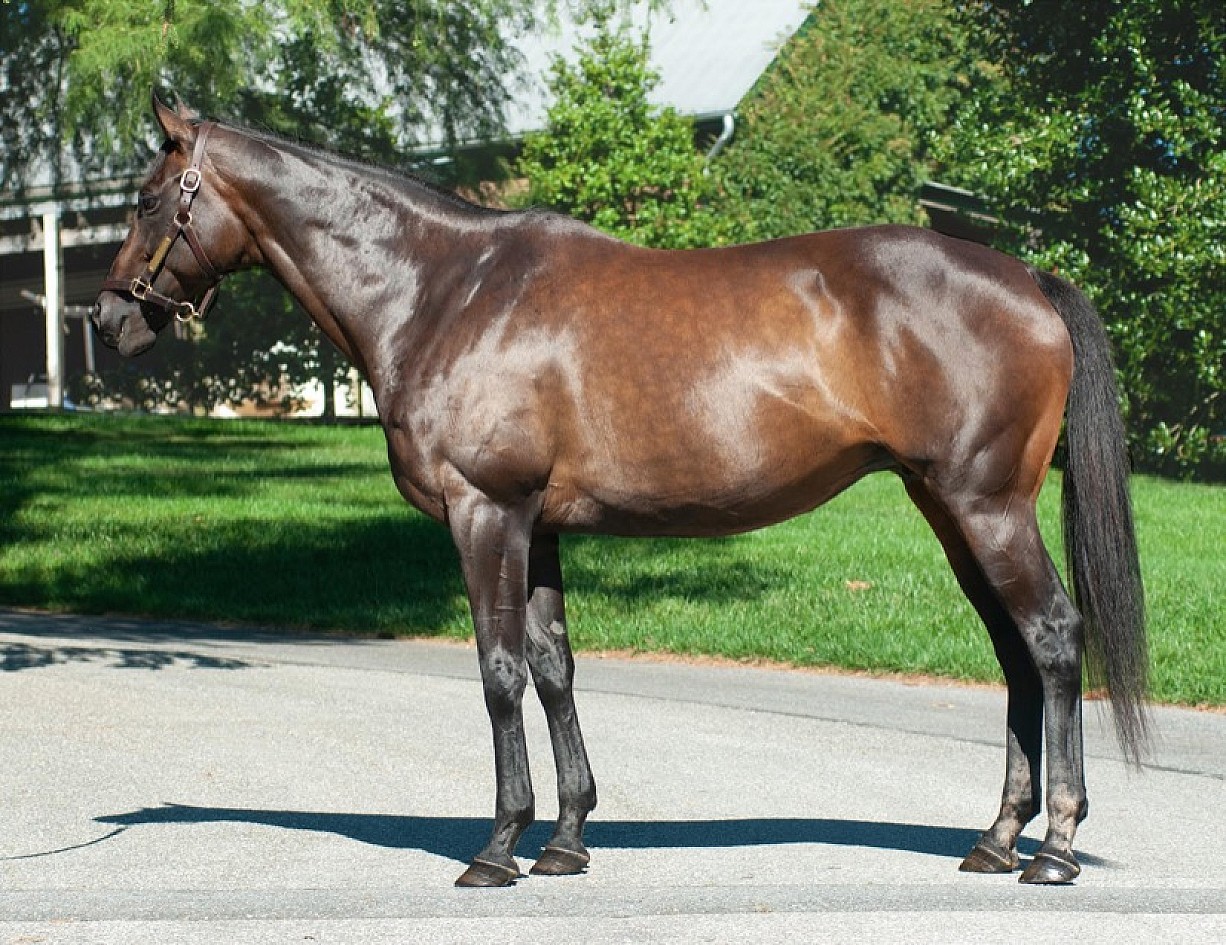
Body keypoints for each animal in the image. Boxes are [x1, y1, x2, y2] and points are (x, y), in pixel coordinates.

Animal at [92, 95, 1147, 888]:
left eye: (145, 201)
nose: (107, 320)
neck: (445, 290)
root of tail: (1028, 277)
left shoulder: (487, 512)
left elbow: (499, 671)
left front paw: (497, 846)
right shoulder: (541, 526)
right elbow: (555, 666)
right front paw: (564, 839)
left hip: (986, 508)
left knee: (1055, 637)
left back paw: (1054, 845)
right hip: (949, 511)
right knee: (1016, 655)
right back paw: (996, 839)